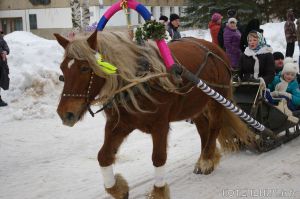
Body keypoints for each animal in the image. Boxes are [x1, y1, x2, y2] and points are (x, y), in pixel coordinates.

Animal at [54, 31, 253, 199]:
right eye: (63, 68)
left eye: (84, 68)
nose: (65, 114)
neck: (138, 80)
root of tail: (215, 48)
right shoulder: (118, 124)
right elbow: (103, 156)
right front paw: (118, 188)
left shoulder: (160, 125)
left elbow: (158, 158)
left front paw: (158, 192)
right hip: (194, 106)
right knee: (204, 130)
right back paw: (205, 158)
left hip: (217, 100)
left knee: (214, 127)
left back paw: (206, 161)